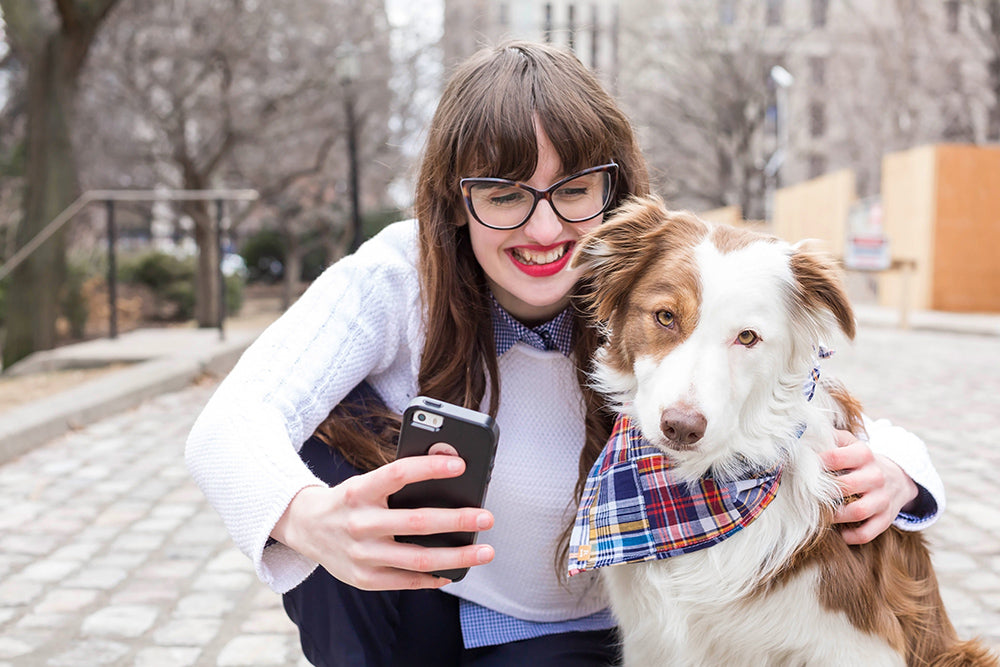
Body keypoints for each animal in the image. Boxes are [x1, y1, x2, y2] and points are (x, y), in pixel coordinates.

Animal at [572, 197, 1000, 667]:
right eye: (665, 316)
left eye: (747, 337)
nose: (681, 427)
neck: (693, 493)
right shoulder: (651, 641)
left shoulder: (859, 645)